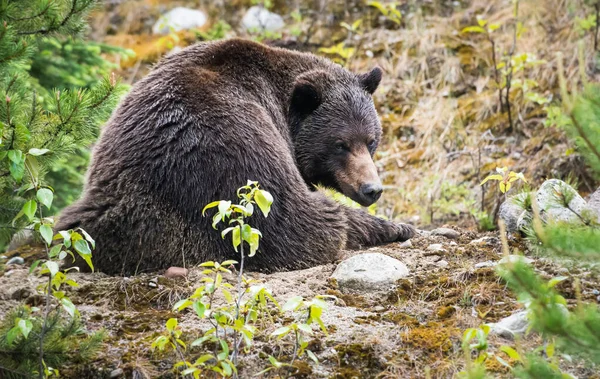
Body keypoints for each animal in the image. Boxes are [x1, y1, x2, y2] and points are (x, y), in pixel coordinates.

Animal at [58, 38, 414, 276]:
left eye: (371, 141)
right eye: (341, 144)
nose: (371, 189)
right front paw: (398, 225)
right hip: (231, 161)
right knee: (304, 222)